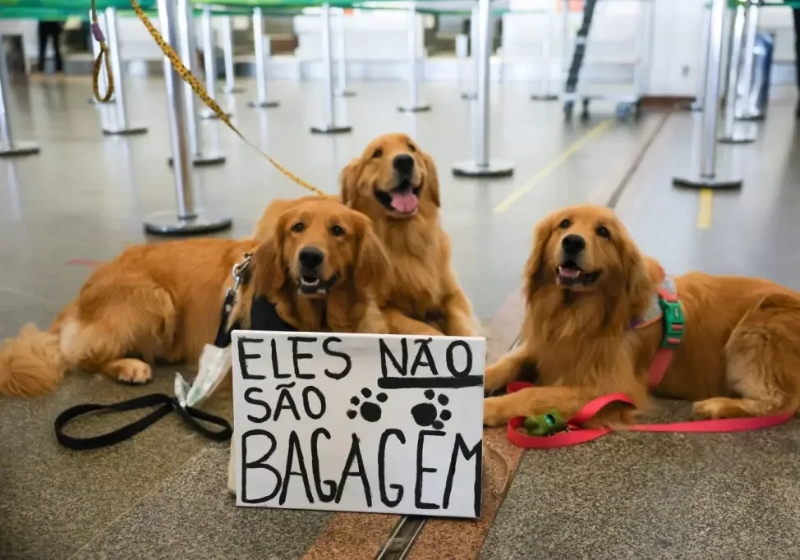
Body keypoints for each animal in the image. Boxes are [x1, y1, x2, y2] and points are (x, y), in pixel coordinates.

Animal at [0, 197, 388, 398]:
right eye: (298, 228)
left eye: (337, 230)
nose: (309, 257)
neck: (316, 319)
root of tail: (81, 296)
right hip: (154, 299)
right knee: (84, 356)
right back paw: (130, 367)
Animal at [338, 132, 476, 336]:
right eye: (377, 153)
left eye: (411, 148)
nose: (404, 161)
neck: (406, 238)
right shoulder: (381, 310)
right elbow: (423, 328)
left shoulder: (453, 294)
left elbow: (463, 325)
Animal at [482, 203, 800, 426]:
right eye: (564, 224)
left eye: (603, 232)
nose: (572, 241)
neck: (575, 313)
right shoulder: (544, 347)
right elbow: (506, 364)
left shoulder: (607, 387)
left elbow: (531, 393)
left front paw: (488, 408)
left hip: (759, 325)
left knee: (781, 402)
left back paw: (716, 406)